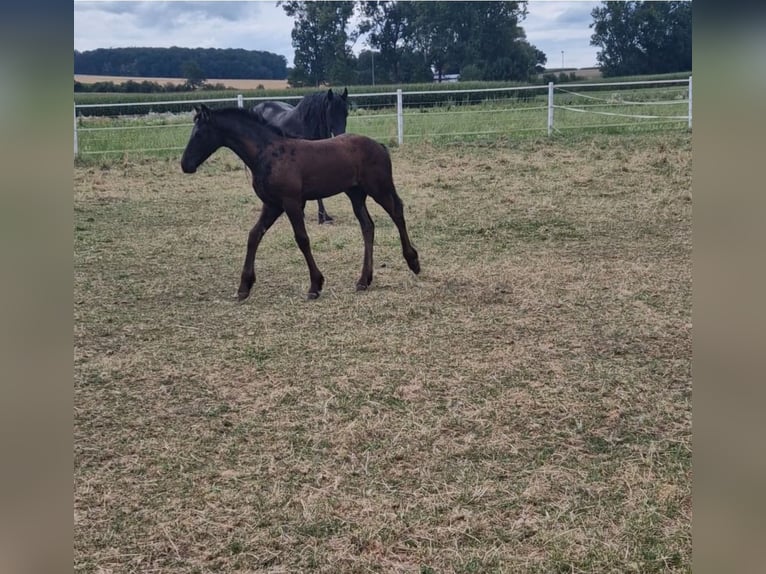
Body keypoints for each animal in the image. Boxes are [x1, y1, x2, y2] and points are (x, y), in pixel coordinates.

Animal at [182, 105, 420, 302]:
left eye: (199, 133)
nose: (185, 165)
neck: (268, 153)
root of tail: (379, 145)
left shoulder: (292, 202)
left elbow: (302, 239)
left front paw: (315, 285)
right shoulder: (272, 205)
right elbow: (254, 235)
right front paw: (244, 287)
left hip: (379, 188)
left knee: (397, 212)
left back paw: (413, 262)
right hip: (356, 194)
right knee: (368, 226)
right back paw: (363, 280)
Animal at [250, 88, 350, 225]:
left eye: (346, 113)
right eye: (331, 113)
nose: (341, 136)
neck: (306, 125)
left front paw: (322, 215)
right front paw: (320, 216)